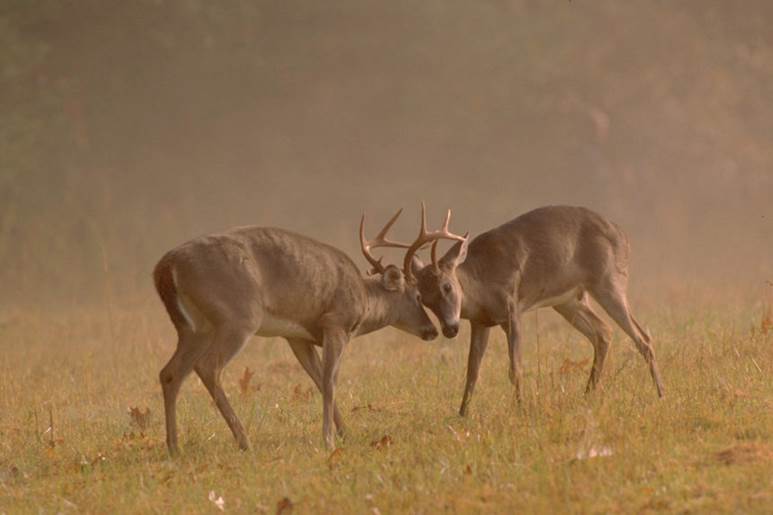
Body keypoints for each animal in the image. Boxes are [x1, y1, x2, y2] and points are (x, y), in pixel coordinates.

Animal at [153, 210, 438, 456]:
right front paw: (328, 440)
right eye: (418, 295)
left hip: (194, 329)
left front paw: (345, 432)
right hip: (238, 317)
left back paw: (174, 447)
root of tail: (166, 266)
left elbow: (318, 380)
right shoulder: (335, 323)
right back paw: (244, 441)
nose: (432, 330)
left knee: (170, 372)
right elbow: (330, 381)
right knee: (208, 366)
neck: (365, 300)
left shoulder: (298, 337)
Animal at [408, 204, 668, 418]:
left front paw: (521, 409)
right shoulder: (480, 322)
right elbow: (472, 371)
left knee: (642, 337)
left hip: (609, 281)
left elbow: (515, 368)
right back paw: (587, 395)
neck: (482, 282)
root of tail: (624, 237)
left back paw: (661, 394)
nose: (450, 329)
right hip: (569, 301)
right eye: (424, 299)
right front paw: (462, 414)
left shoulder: (512, 310)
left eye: (447, 286)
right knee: (604, 332)